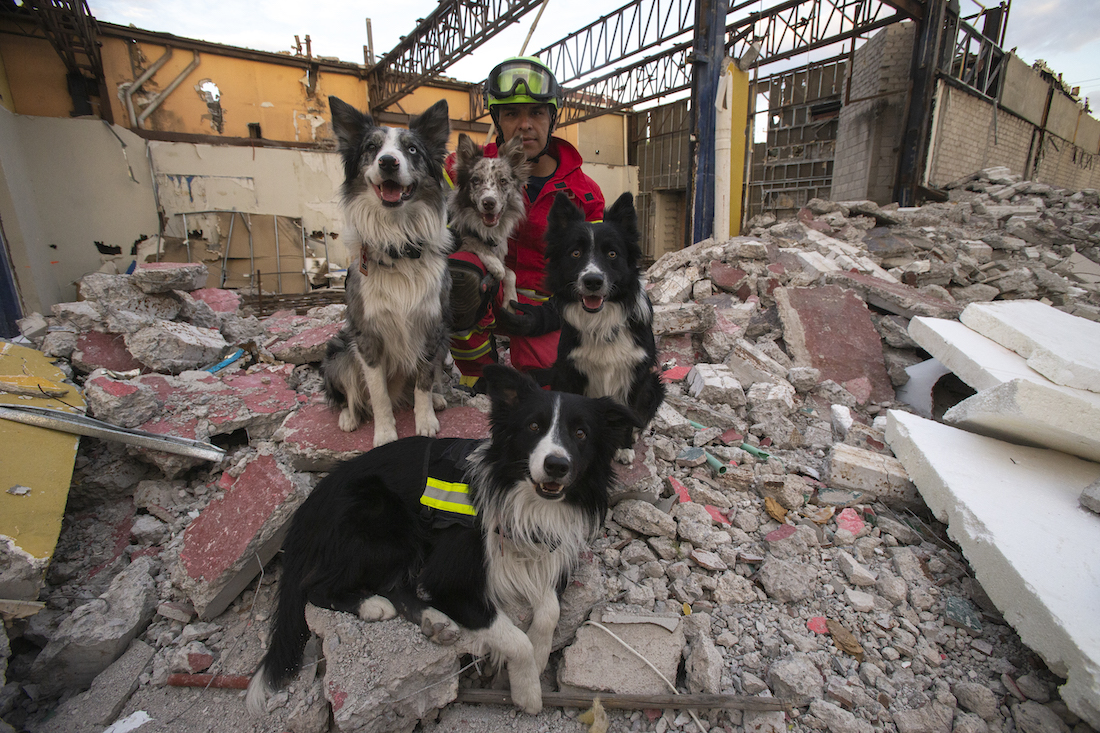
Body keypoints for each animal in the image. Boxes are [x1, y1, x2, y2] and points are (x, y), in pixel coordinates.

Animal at [245, 365, 633, 713]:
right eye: (534, 427)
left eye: (580, 433)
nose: (556, 465)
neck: (523, 500)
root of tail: (307, 509)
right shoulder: (451, 580)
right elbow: (514, 638)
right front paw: (527, 691)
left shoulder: (542, 554)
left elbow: (550, 610)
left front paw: (539, 656)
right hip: (384, 520)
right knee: (318, 587)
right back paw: (372, 605)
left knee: (393, 585)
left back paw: (434, 620)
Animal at [448, 132, 530, 310]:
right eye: (475, 180)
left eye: (503, 181)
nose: (489, 203)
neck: (484, 229)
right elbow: (470, 240)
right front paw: (494, 263)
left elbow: (511, 273)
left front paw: (510, 299)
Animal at [545, 191, 664, 460]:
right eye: (575, 253)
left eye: (612, 254)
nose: (593, 281)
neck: (601, 321)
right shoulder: (569, 370)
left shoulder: (637, 372)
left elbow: (631, 411)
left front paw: (625, 448)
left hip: (655, 383)